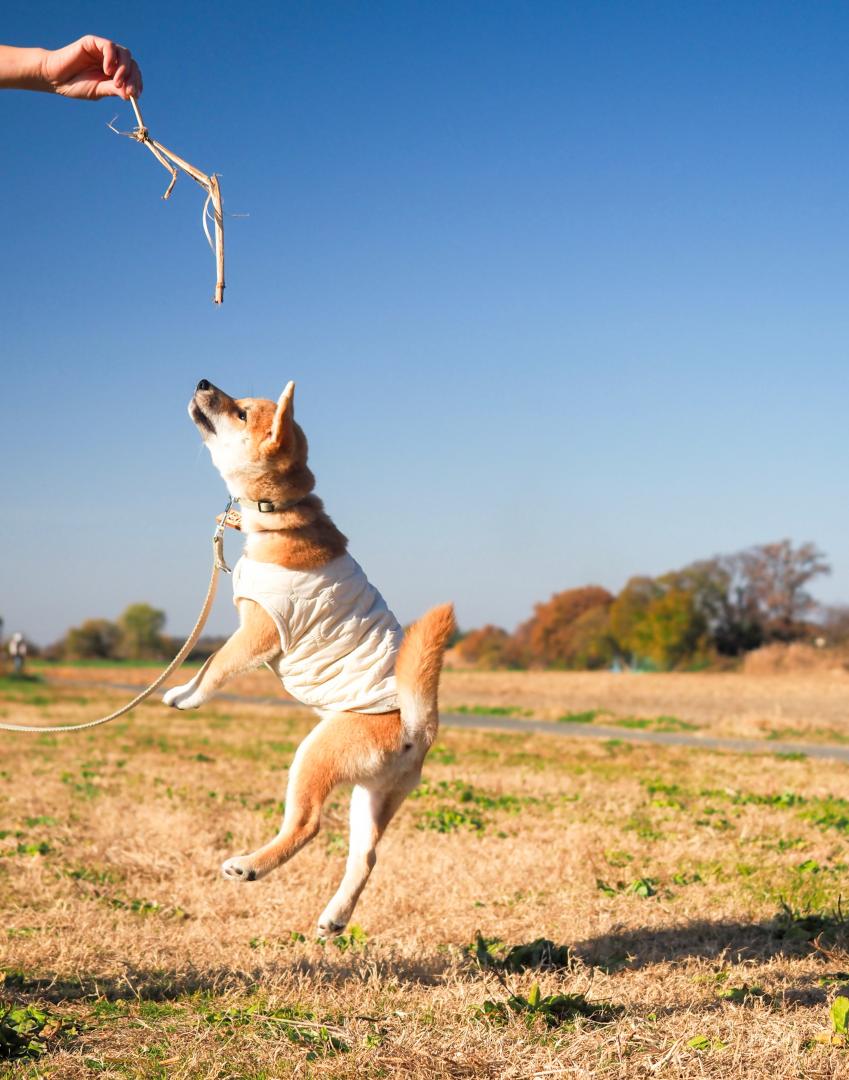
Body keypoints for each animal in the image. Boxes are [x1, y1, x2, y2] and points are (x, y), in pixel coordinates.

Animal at [163, 380, 453, 937]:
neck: (278, 518)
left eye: (240, 412)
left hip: (315, 755)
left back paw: (250, 865)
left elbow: (213, 666)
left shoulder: (259, 629)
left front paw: (184, 696)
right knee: (366, 856)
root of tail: (418, 725)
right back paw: (335, 917)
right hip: (374, 796)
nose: (204, 382)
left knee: (308, 824)